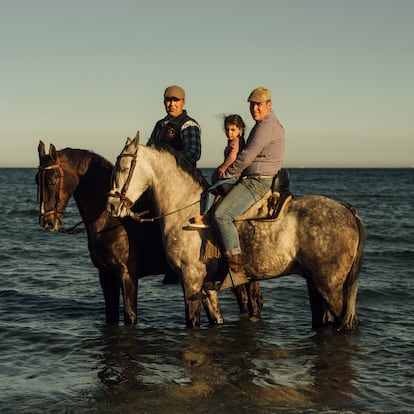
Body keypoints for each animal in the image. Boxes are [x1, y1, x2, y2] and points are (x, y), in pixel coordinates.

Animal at [35, 142, 262, 326]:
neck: (110, 221)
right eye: (38, 180)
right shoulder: (106, 275)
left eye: (53, 181)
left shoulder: (127, 275)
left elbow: (130, 316)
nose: (47, 222)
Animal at [107, 135, 366, 334]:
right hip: (315, 283)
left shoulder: (191, 280)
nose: (111, 205)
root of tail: (347, 210)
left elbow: (192, 323)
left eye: (123, 168)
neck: (187, 210)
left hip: (329, 285)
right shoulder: (206, 287)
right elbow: (216, 320)